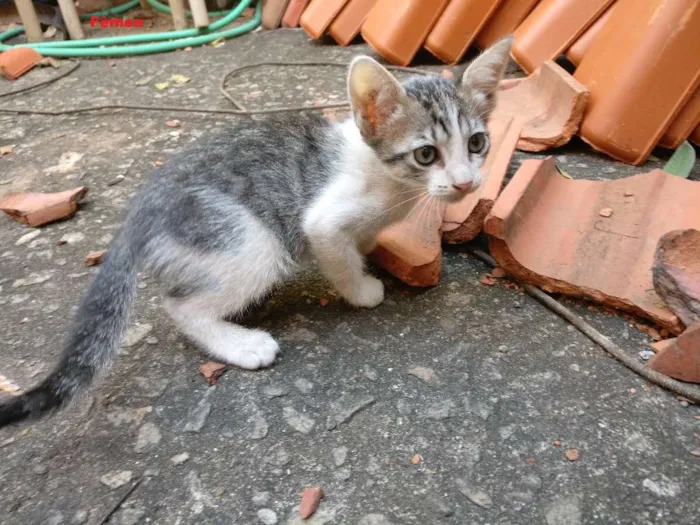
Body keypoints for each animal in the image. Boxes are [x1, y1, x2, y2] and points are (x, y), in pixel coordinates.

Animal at [0, 36, 516, 426]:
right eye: (426, 154)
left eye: (477, 143)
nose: (466, 183)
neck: (390, 182)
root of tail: (140, 209)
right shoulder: (321, 221)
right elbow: (338, 256)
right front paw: (362, 289)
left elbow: (362, 241)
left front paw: (369, 249)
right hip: (251, 242)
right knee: (181, 306)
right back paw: (241, 343)